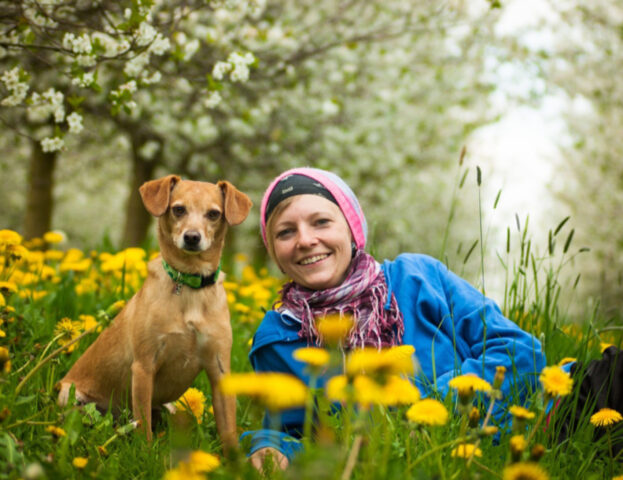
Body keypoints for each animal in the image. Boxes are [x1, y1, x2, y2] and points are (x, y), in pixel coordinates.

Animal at [57, 176, 252, 450]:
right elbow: (144, 427)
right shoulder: (144, 366)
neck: (190, 287)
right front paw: (146, 452)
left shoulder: (220, 369)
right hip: (71, 397)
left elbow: (228, 429)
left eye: (214, 214)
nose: (192, 237)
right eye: (178, 209)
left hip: (174, 410)